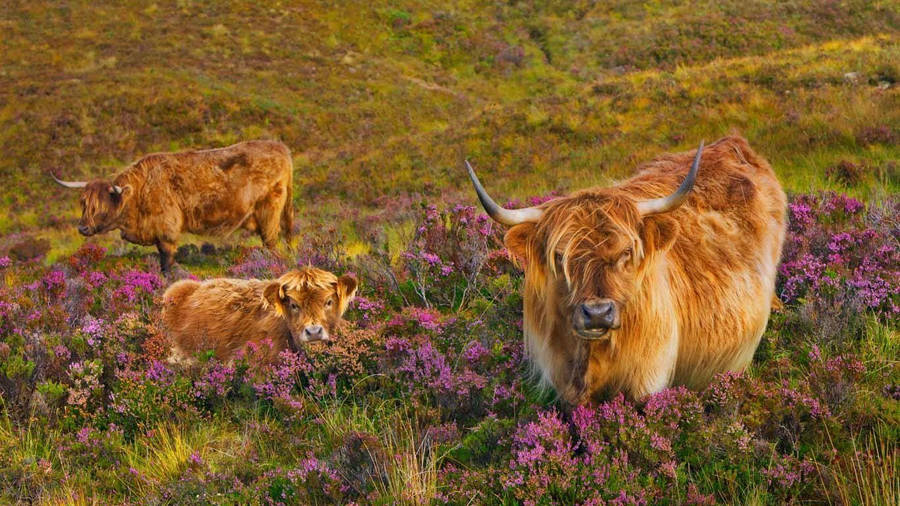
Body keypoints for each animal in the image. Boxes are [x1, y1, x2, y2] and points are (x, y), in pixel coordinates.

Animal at [52, 140, 294, 271]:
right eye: (84, 203)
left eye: (100, 206)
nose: (83, 228)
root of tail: (281, 147)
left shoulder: (166, 227)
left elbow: (166, 259)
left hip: (269, 210)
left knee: (272, 242)